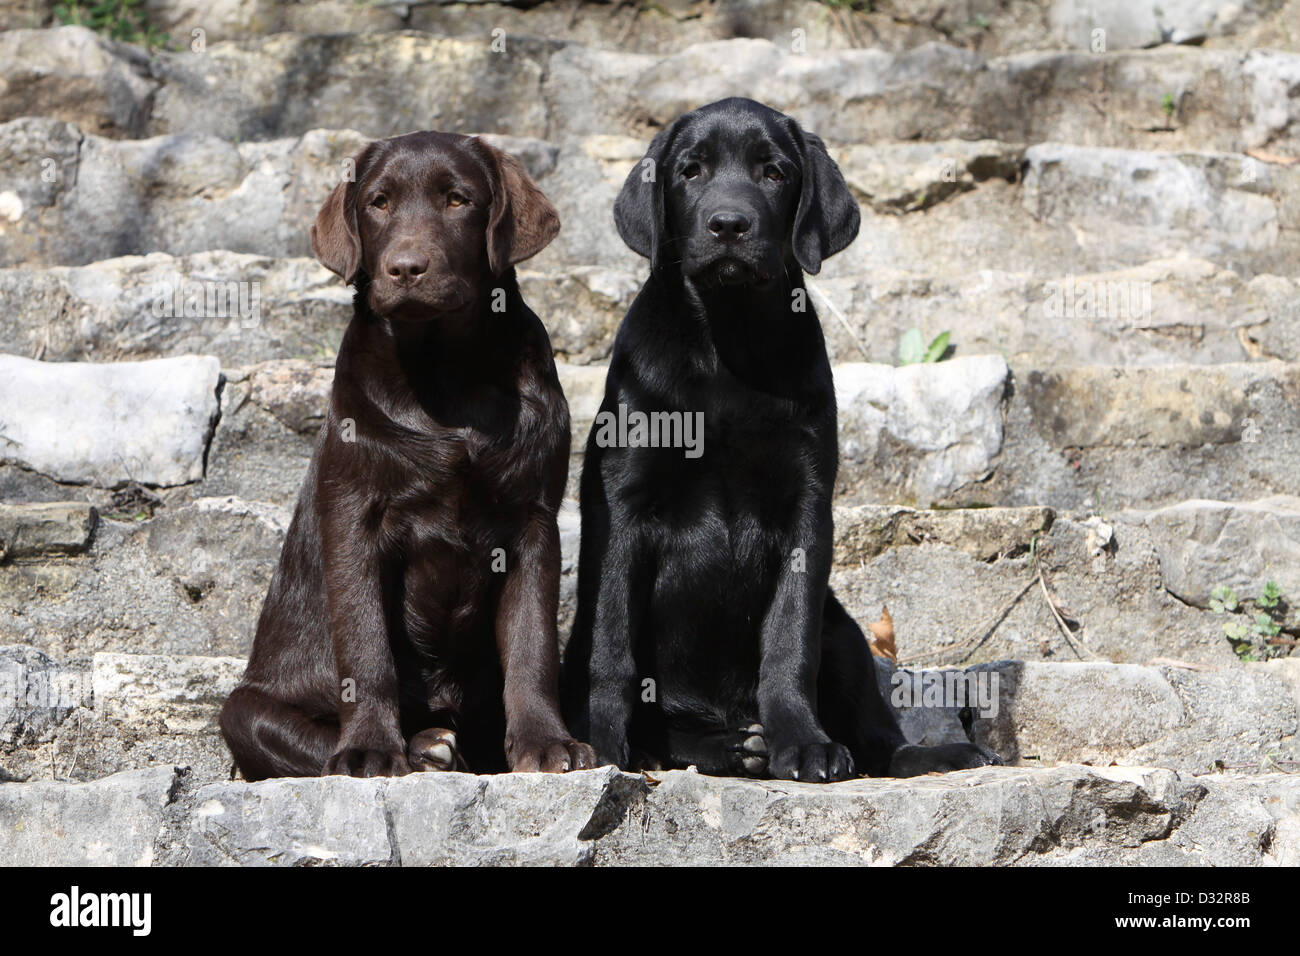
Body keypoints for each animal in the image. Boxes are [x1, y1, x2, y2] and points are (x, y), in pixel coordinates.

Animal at [219, 130, 598, 780]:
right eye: (378, 202)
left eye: (457, 199)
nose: (406, 268)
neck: (444, 377)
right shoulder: (354, 518)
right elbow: (365, 644)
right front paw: (370, 750)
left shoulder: (533, 521)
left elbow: (533, 644)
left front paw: (547, 743)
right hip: (242, 708)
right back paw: (422, 747)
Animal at [564, 100, 998, 780]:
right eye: (690, 170)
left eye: (774, 173)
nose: (728, 224)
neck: (730, 341)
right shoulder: (624, 507)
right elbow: (611, 649)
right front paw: (604, 748)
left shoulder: (806, 507)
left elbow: (789, 639)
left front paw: (802, 741)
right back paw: (725, 746)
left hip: (844, 629)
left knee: (877, 736)